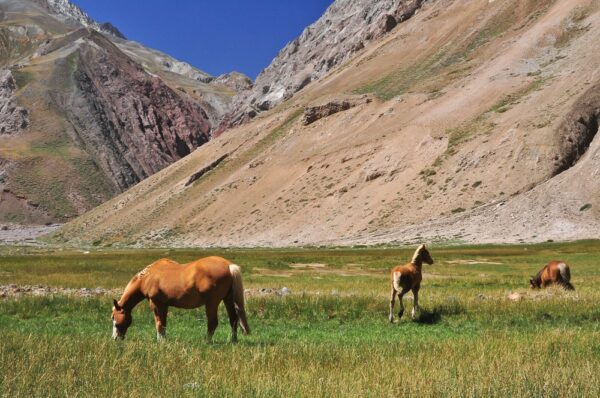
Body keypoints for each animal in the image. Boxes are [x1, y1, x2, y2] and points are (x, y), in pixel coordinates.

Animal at [111, 256, 250, 344]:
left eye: (115, 319)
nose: (115, 338)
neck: (148, 277)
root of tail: (228, 265)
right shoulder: (164, 305)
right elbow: (163, 323)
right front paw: (163, 339)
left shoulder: (156, 304)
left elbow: (159, 323)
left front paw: (160, 341)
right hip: (228, 299)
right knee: (233, 319)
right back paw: (233, 340)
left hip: (212, 303)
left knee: (212, 323)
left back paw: (207, 341)